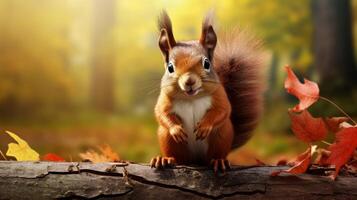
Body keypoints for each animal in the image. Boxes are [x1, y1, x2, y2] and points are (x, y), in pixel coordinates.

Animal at [150, 10, 264, 173]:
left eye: (206, 63)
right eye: (170, 67)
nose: (189, 81)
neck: (191, 98)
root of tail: (196, 161)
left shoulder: (219, 95)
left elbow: (223, 110)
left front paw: (204, 127)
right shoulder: (164, 98)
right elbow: (161, 113)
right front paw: (176, 129)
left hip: (221, 135)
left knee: (215, 154)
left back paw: (218, 161)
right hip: (167, 139)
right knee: (176, 156)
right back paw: (165, 159)